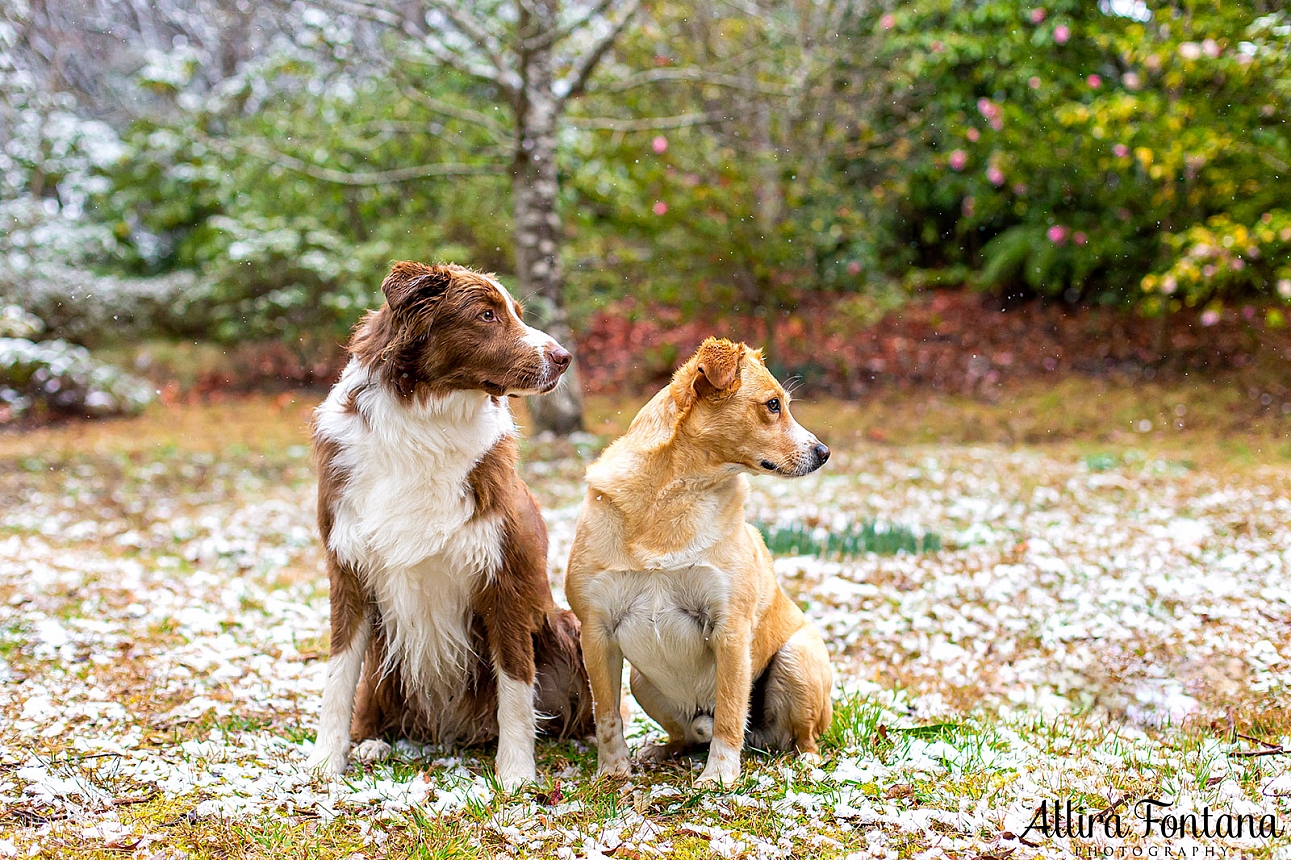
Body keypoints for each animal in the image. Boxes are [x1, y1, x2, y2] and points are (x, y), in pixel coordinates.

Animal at [312, 259, 593, 785]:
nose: (565, 357)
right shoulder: (348, 571)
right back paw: (371, 742)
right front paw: (323, 762)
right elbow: (338, 677)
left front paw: (516, 774)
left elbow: (515, 686)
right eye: (486, 314)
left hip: (566, 625)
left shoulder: (505, 577)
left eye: (515, 311)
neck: (427, 424)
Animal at [568, 335, 831, 785]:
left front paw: (720, 778)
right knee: (688, 736)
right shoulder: (596, 630)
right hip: (641, 681)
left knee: (797, 737)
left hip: (797, 659)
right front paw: (613, 773)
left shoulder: (730, 628)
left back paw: (805, 763)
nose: (824, 451)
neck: (677, 493)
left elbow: (728, 713)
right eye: (773, 405)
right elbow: (607, 716)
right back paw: (661, 751)